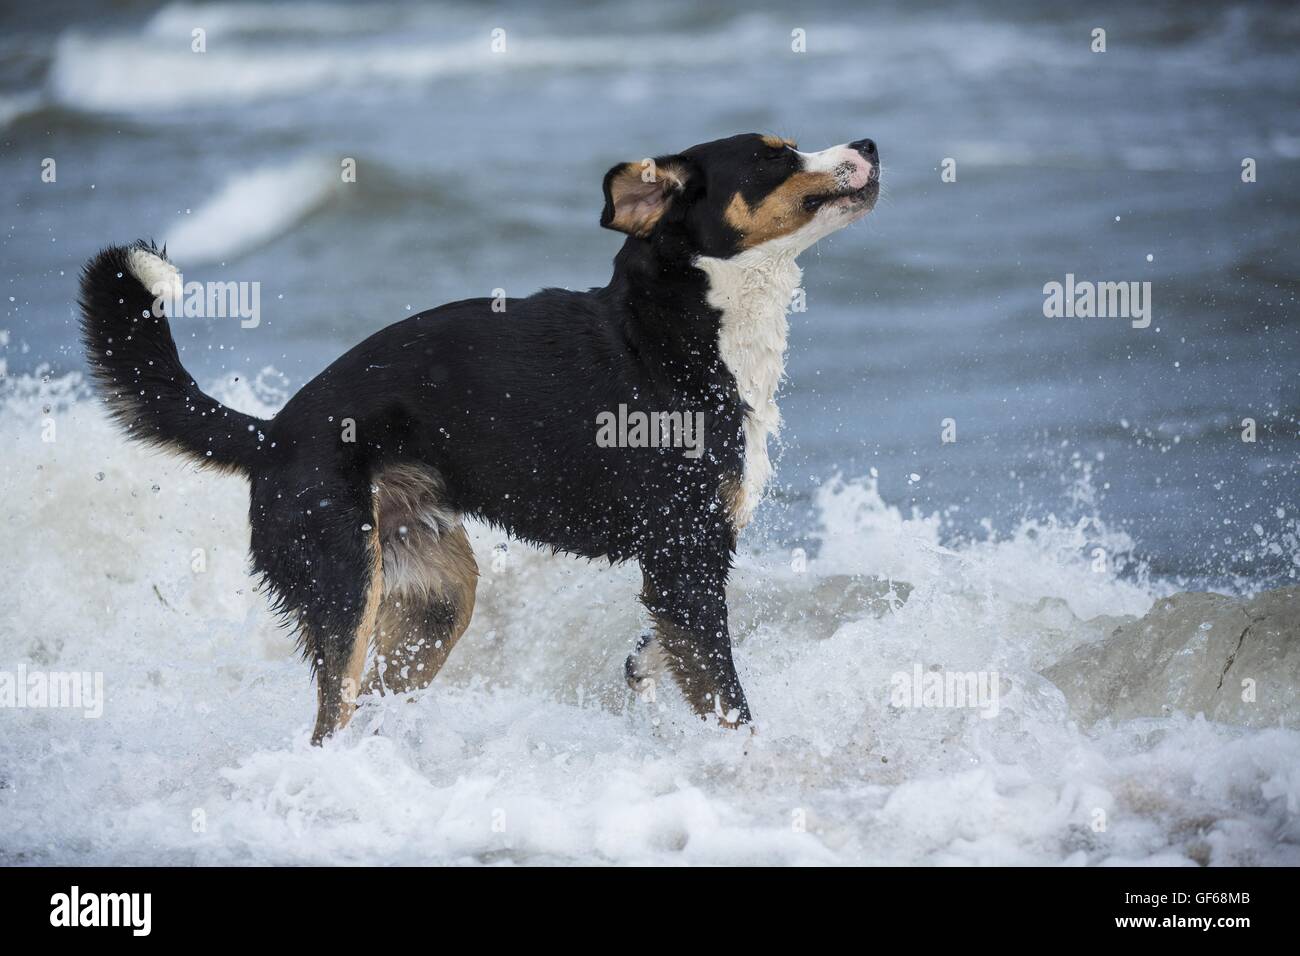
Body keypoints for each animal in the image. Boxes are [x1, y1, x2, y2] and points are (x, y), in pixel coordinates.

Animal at [78, 130, 873, 743]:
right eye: (773, 155)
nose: (867, 146)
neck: (683, 332)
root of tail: (273, 433)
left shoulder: (683, 567)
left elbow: (665, 655)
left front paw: (646, 674)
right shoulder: (686, 559)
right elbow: (729, 702)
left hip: (436, 599)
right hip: (345, 587)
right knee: (329, 720)